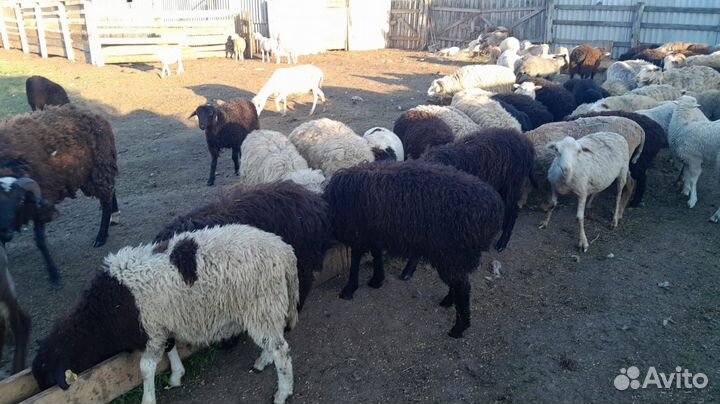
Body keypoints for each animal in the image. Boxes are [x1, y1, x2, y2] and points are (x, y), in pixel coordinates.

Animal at [0, 104, 119, 286]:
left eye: (19, 200)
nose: (6, 234)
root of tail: (93, 114)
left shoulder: (41, 202)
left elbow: (40, 242)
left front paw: (54, 275)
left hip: (98, 168)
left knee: (106, 200)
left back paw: (101, 237)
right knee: (111, 191)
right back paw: (114, 215)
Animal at [33, 224, 299, 404]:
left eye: (47, 374)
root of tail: (284, 251)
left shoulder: (151, 330)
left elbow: (146, 368)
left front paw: (148, 398)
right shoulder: (163, 323)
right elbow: (170, 349)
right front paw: (176, 376)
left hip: (262, 305)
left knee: (282, 351)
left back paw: (282, 392)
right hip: (265, 309)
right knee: (274, 342)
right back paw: (263, 361)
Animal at [324, 160, 504, 338]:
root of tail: (494, 210)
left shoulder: (359, 233)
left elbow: (355, 261)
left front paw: (349, 289)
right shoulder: (374, 232)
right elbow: (376, 254)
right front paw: (377, 279)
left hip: (452, 253)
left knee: (463, 287)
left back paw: (458, 328)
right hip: (454, 257)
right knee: (458, 283)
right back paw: (447, 302)